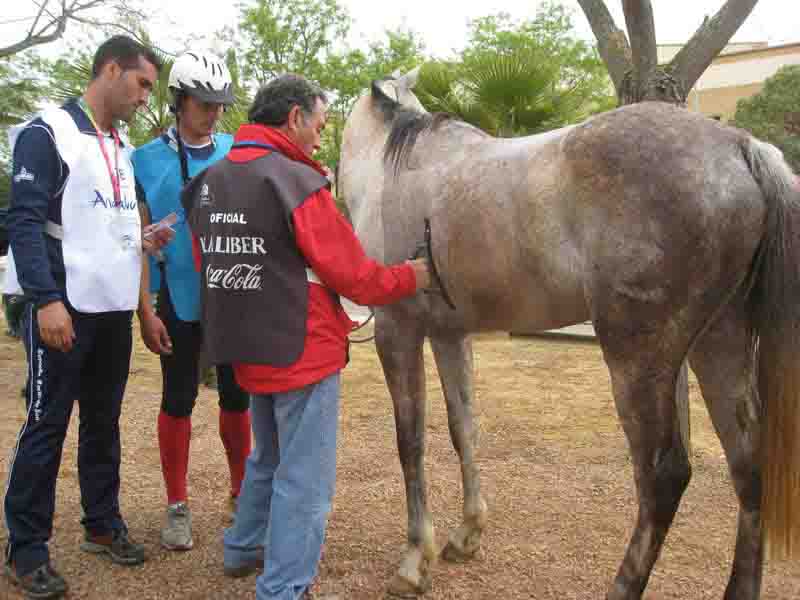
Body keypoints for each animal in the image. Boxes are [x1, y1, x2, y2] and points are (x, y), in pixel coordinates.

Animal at [340, 68, 800, 596]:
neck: (395, 170)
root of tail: (739, 146)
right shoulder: (449, 336)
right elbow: (463, 429)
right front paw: (467, 534)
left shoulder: (398, 332)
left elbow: (410, 441)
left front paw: (415, 559)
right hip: (718, 343)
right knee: (747, 463)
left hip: (637, 359)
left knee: (663, 475)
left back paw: (622, 584)